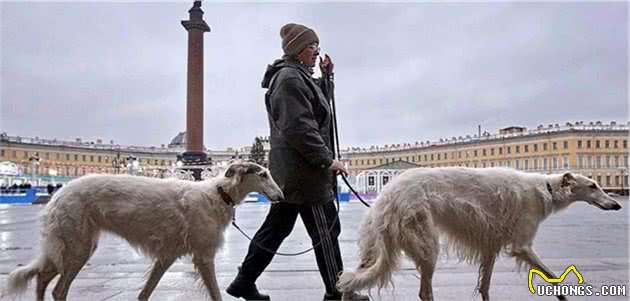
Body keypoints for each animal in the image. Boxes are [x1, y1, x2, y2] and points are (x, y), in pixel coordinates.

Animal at [2, 161, 284, 298]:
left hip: (74, 248)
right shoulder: (203, 256)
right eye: (263, 174)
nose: (281, 197)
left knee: (42, 277)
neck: (218, 194)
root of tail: (58, 195)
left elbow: (144, 294)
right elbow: (216, 294)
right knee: (57, 289)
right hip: (76, 249)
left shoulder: (167, 256)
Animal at [338, 166, 624, 300]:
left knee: (349, 280)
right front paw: (563, 295)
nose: (617, 204)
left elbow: (485, 286)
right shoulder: (521, 246)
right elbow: (552, 276)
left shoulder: (490, 247)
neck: (546, 189)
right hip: (427, 247)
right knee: (424, 293)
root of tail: (387, 195)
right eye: (593, 185)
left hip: (376, 250)